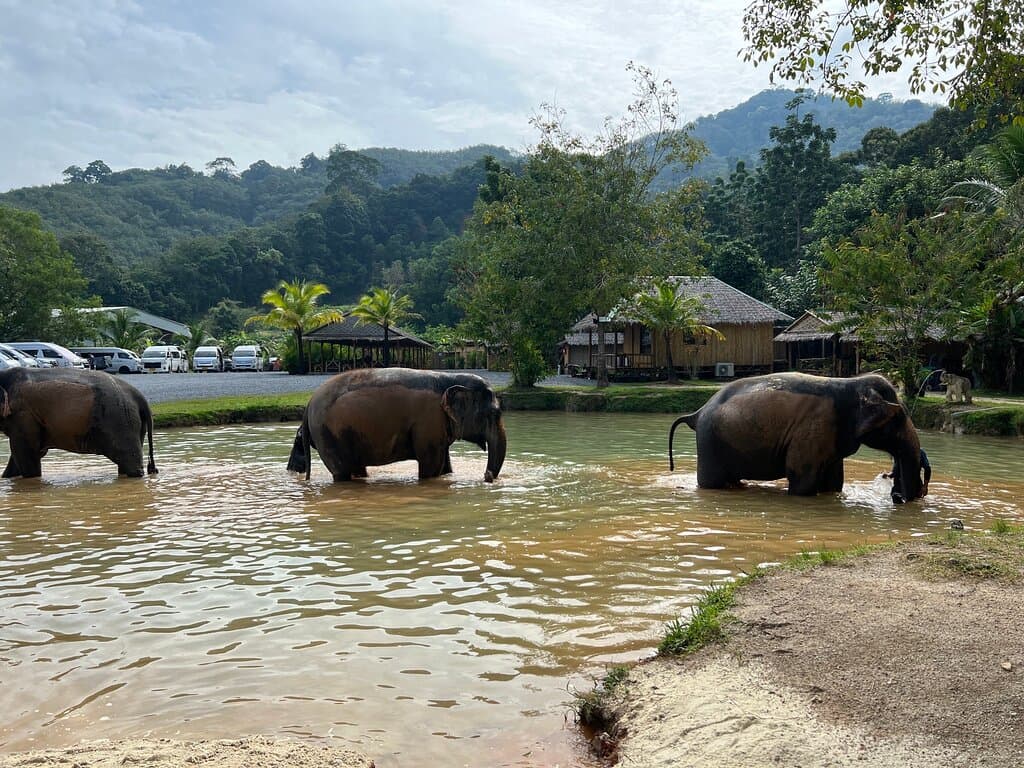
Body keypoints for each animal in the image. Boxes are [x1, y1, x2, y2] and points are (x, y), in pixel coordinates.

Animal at [0, 367, 158, 479]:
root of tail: (140, 397)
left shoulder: (23, 415)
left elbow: (27, 455)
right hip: (132, 422)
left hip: (120, 420)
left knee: (130, 463)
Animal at [287, 368, 507, 483]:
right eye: (494, 414)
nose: (487, 476)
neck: (448, 378)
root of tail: (308, 404)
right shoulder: (429, 422)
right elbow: (431, 468)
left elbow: (444, 466)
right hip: (327, 435)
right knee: (342, 472)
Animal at [668, 372, 925, 501]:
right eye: (899, 416)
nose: (899, 496)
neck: (851, 384)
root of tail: (697, 412)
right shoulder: (813, 429)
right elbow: (803, 479)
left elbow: (834, 481)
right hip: (709, 442)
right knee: (711, 482)